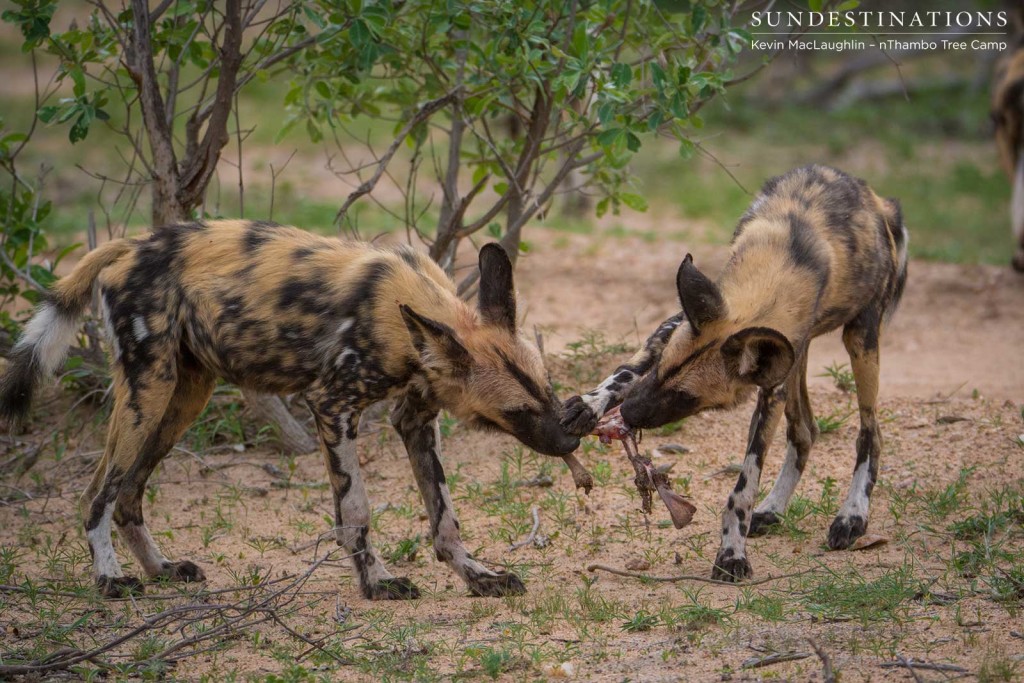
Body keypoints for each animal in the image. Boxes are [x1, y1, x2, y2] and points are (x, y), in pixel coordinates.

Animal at [0, 220, 577, 598]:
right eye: (519, 411)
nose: (571, 437)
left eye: (549, 389)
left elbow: (445, 519)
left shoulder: (415, 421)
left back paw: (160, 569)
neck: (409, 318)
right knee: (98, 493)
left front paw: (477, 576)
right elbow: (355, 513)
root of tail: (133, 243)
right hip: (149, 392)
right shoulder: (333, 408)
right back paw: (110, 577)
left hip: (182, 400)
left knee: (127, 495)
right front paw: (377, 583)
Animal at [565, 165, 909, 581]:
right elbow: (624, 373)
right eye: (660, 369)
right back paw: (773, 509)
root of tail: (878, 200)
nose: (628, 415)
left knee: (869, 433)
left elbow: (743, 487)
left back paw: (852, 515)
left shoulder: (771, 388)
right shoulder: (678, 325)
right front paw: (588, 405)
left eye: (684, 397)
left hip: (859, 339)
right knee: (805, 432)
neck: (773, 273)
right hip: (796, 357)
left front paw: (732, 552)